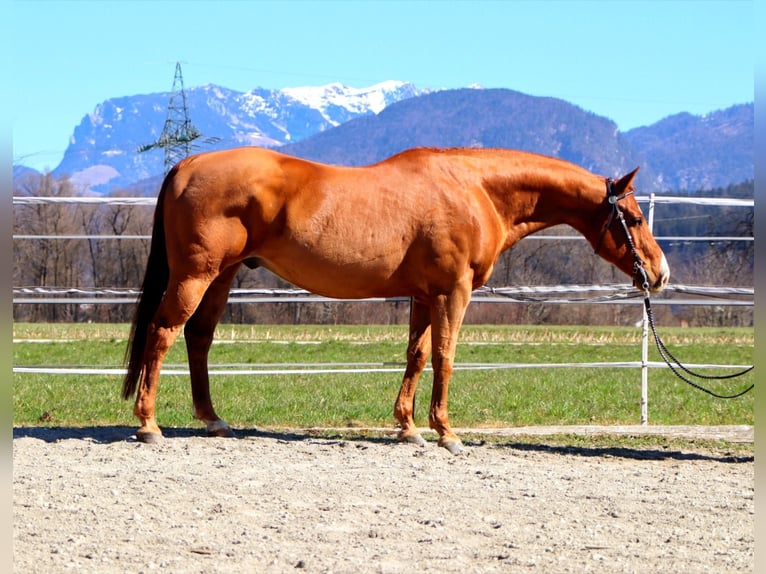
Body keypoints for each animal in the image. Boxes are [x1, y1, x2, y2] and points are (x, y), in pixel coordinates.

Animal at [122, 146, 669, 453]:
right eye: (635, 218)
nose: (660, 273)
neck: (473, 189)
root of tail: (186, 163)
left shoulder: (424, 295)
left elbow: (418, 355)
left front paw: (408, 428)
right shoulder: (453, 292)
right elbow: (446, 356)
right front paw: (446, 433)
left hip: (222, 276)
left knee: (198, 338)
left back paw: (213, 420)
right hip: (196, 275)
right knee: (163, 332)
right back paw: (149, 426)